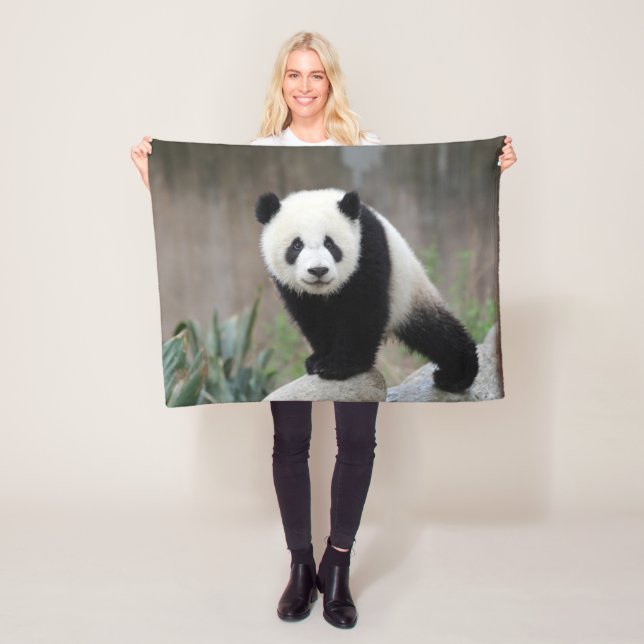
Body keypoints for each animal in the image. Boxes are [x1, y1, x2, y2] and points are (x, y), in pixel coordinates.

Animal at [255, 188, 479, 393]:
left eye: (330, 243)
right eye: (296, 245)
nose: (318, 270)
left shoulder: (367, 248)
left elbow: (362, 311)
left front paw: (339, 366)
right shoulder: (293, 289)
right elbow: (311, 318)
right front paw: (318, 359)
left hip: (409, 292)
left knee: (437, 332)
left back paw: (456, 375)